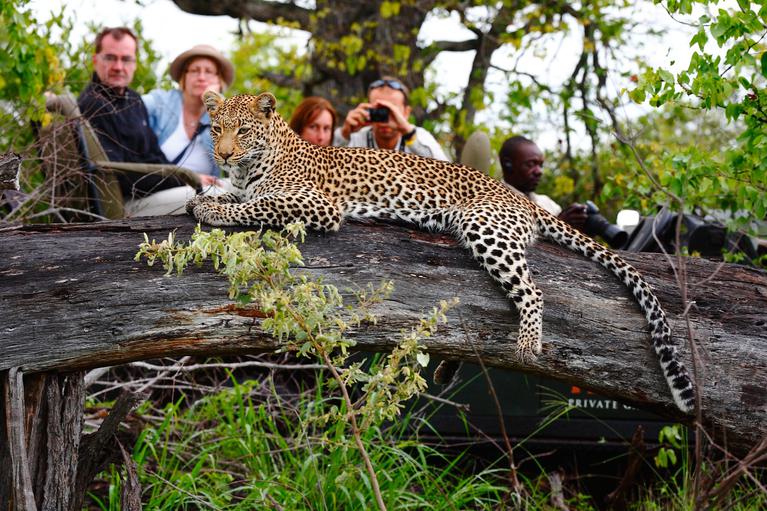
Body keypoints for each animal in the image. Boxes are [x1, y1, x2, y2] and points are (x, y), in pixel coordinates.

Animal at [187, 90, 696, 414]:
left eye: (244, 131)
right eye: (217, 129)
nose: (224, 155)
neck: (254, 164)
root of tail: (521, 197)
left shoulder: (317, 205)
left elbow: (257, 205)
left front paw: (212, 210)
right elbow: (237, 196)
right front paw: (203, 197)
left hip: (486, 228)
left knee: (532, 291)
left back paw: (527, 344)